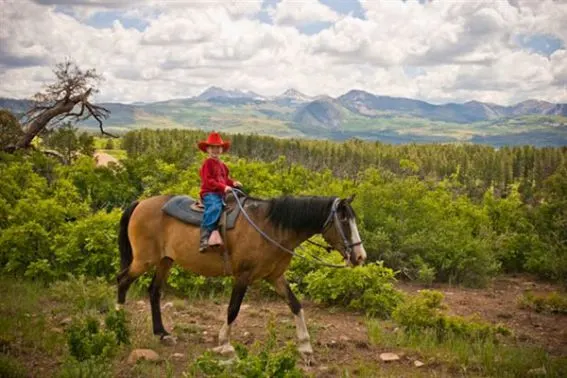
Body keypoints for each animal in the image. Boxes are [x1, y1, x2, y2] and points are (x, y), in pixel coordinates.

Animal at [115, 190, 368, 356]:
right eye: (344, 220)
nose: (360, 256)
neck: (270, 228)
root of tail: (141, 203)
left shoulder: (275, 277)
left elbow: (296, 305)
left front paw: (305, 346)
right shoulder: (243, 276)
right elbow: (233, 309)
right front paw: (225, 343)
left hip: (165, 261)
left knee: (154, 291)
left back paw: (161, 333)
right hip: (144, 260)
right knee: (122, 280)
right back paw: (118, 324)